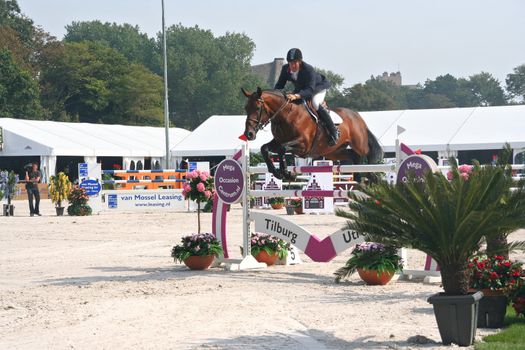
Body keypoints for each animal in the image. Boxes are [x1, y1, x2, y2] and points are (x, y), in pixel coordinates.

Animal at [241, 87, 380, 182]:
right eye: (246, 108)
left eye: (257, 108)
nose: (249, 134)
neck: (286, 115)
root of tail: (357, 116)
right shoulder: (278, 141)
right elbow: (264, 148)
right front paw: (276, 172)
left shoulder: (303, 145)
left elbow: (282, 149)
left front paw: (286, 173)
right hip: (333, 151)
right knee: (353, 155)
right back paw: (358, 177)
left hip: (359, 144)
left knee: (367, 154)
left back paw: (371, 176)